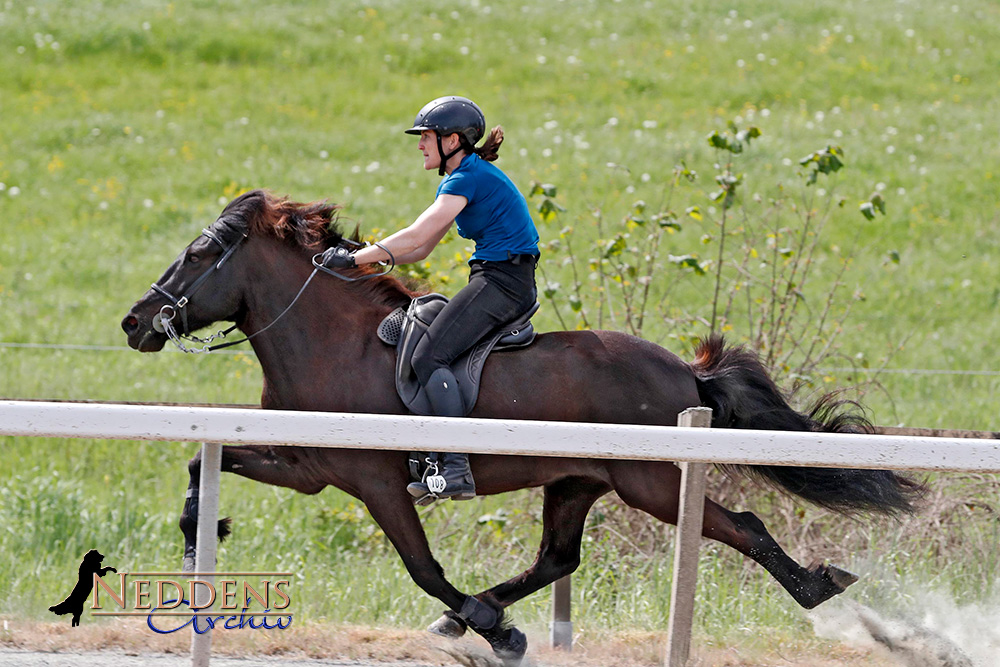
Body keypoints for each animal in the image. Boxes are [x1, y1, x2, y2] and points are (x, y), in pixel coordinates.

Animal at [121, 188, 924, 664]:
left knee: (742, 525)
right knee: (558, 558)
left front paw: (494, 628)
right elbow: (202, 466)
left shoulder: (375, 482)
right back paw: (476, 618)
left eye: (199, 254)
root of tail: (684, 373)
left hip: (650, 484)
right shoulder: (310, 465)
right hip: (575, 480)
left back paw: (818, 587)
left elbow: (423, 567)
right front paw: (198, 537)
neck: (330, 342)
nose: (135, 322)